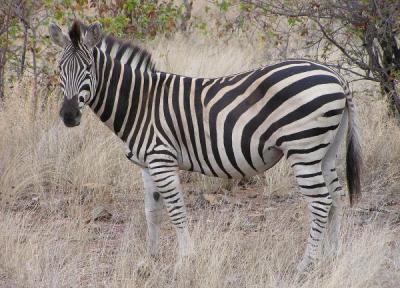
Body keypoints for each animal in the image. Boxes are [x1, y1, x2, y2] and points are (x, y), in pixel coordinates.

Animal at [48, 21, 360, 274]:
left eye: (89, 68)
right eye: (59, 69)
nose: (69, 115)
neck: (141, 103)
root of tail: (336, 76)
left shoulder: (162, 159)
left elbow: (176, 211)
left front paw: (185, 261)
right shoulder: (147, 165)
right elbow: (152, 212)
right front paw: (148, 261)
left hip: (303, 149)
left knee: (320, 202)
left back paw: (305, 265)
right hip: (325, 150)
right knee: (336, 197)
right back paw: (333, 257)